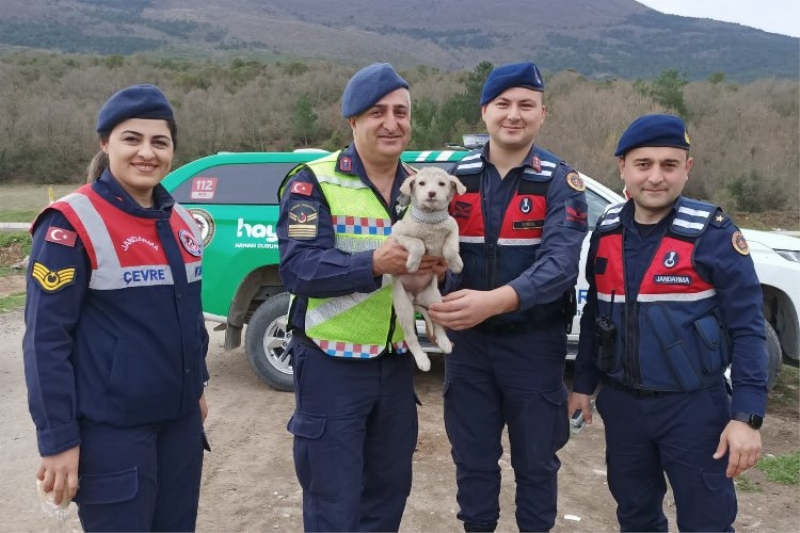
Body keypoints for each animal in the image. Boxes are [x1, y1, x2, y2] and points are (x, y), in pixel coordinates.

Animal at [392, 166, 466, 370]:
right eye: (421, 183)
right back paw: (422, 360)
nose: (431, 193)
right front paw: (412, 264)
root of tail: (416, 297)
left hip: (435, 300)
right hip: (404, 309)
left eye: (441, 184)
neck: (430, 220)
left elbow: (450, 248)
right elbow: (418, 244)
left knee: (438, 323)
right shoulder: (398, 233)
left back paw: (444, 343)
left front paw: (456, 264)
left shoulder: (453, 227)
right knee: (410, 337)